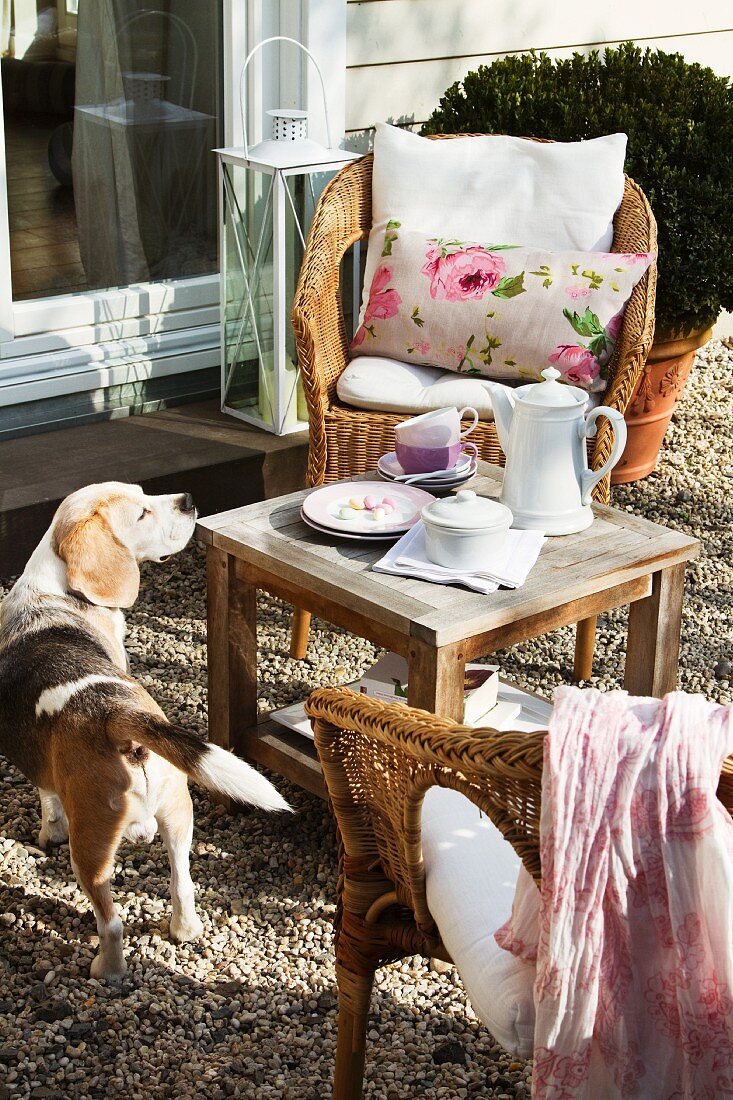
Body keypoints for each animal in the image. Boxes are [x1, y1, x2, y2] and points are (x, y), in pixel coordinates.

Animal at [0, 481, 290, 981]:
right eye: (141, 510)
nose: (189, 501)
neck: (53, 589)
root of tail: (114, 714)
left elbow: (46, 795)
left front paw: (48, 832)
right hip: (179, 811)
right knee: (182, 882)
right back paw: (184, 929)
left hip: (90, 848)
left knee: (111, 921)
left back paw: (107, 969)